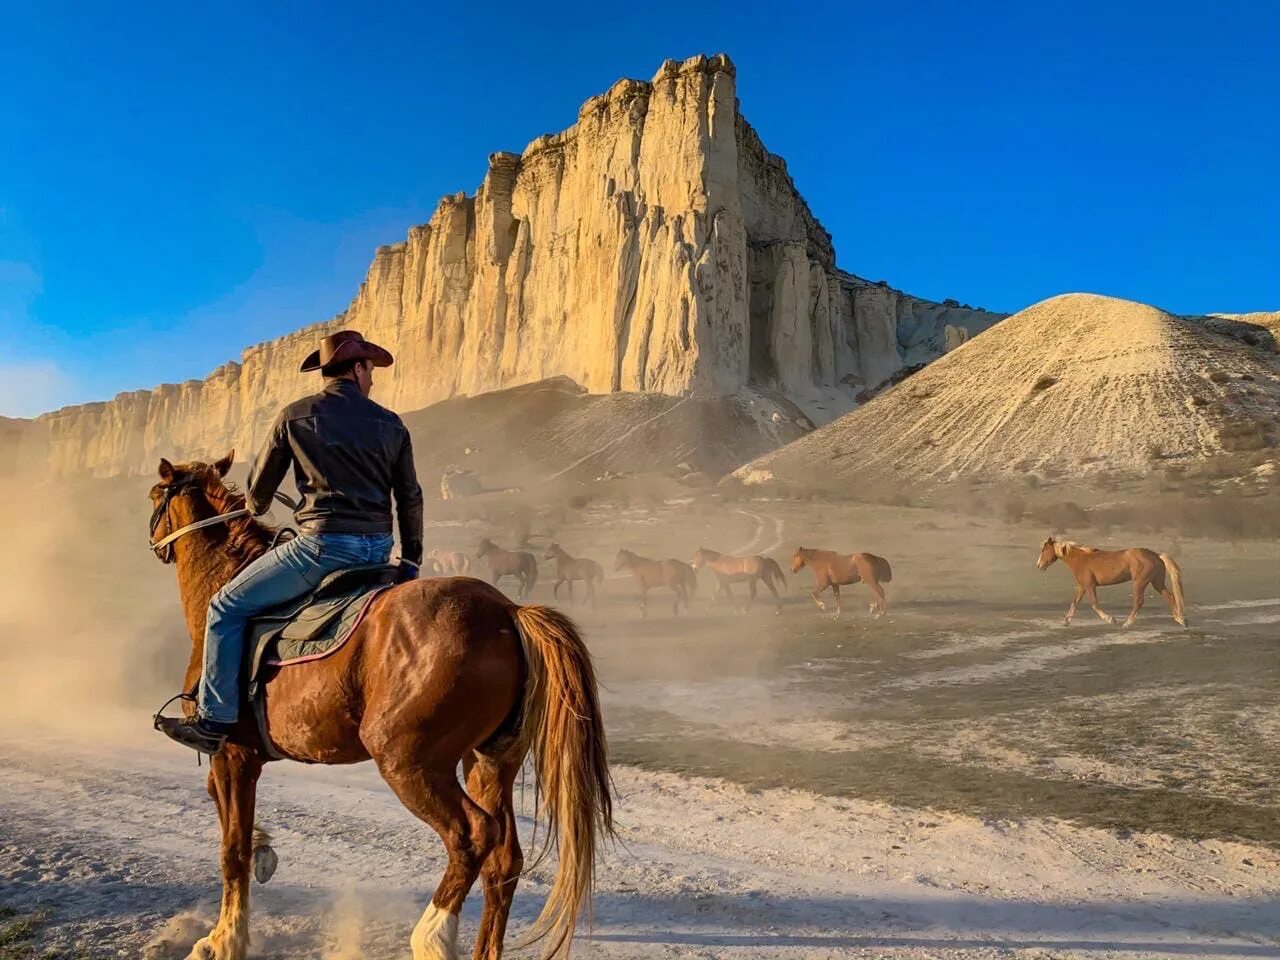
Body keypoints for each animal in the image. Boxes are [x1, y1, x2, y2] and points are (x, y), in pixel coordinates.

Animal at [145, 455, 614, 957]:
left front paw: (224, 938)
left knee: (472, 836)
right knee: (503, 858)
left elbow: (231, 849)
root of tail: (507, 611)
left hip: (409, 763)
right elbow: (225, 815)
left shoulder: (232, 754)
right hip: (490, 761)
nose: (153, 544)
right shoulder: (238, 759)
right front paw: (263, 852)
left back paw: (432, 936)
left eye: (155, 495)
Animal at [1034, 535, 1182, 632]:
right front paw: (1066, 621)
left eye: (1044, 550)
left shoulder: (1089, 586)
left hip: (1139, 583)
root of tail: (1157, 556)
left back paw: (1126, 624)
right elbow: (1074, 602)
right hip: (1157, 583)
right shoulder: (1082, 586)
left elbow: (1094, 605)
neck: (1080, 559)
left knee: (1138, 602)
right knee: (1170, 597)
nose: (1039, 565)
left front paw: (1111, 619)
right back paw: (1181, 620)